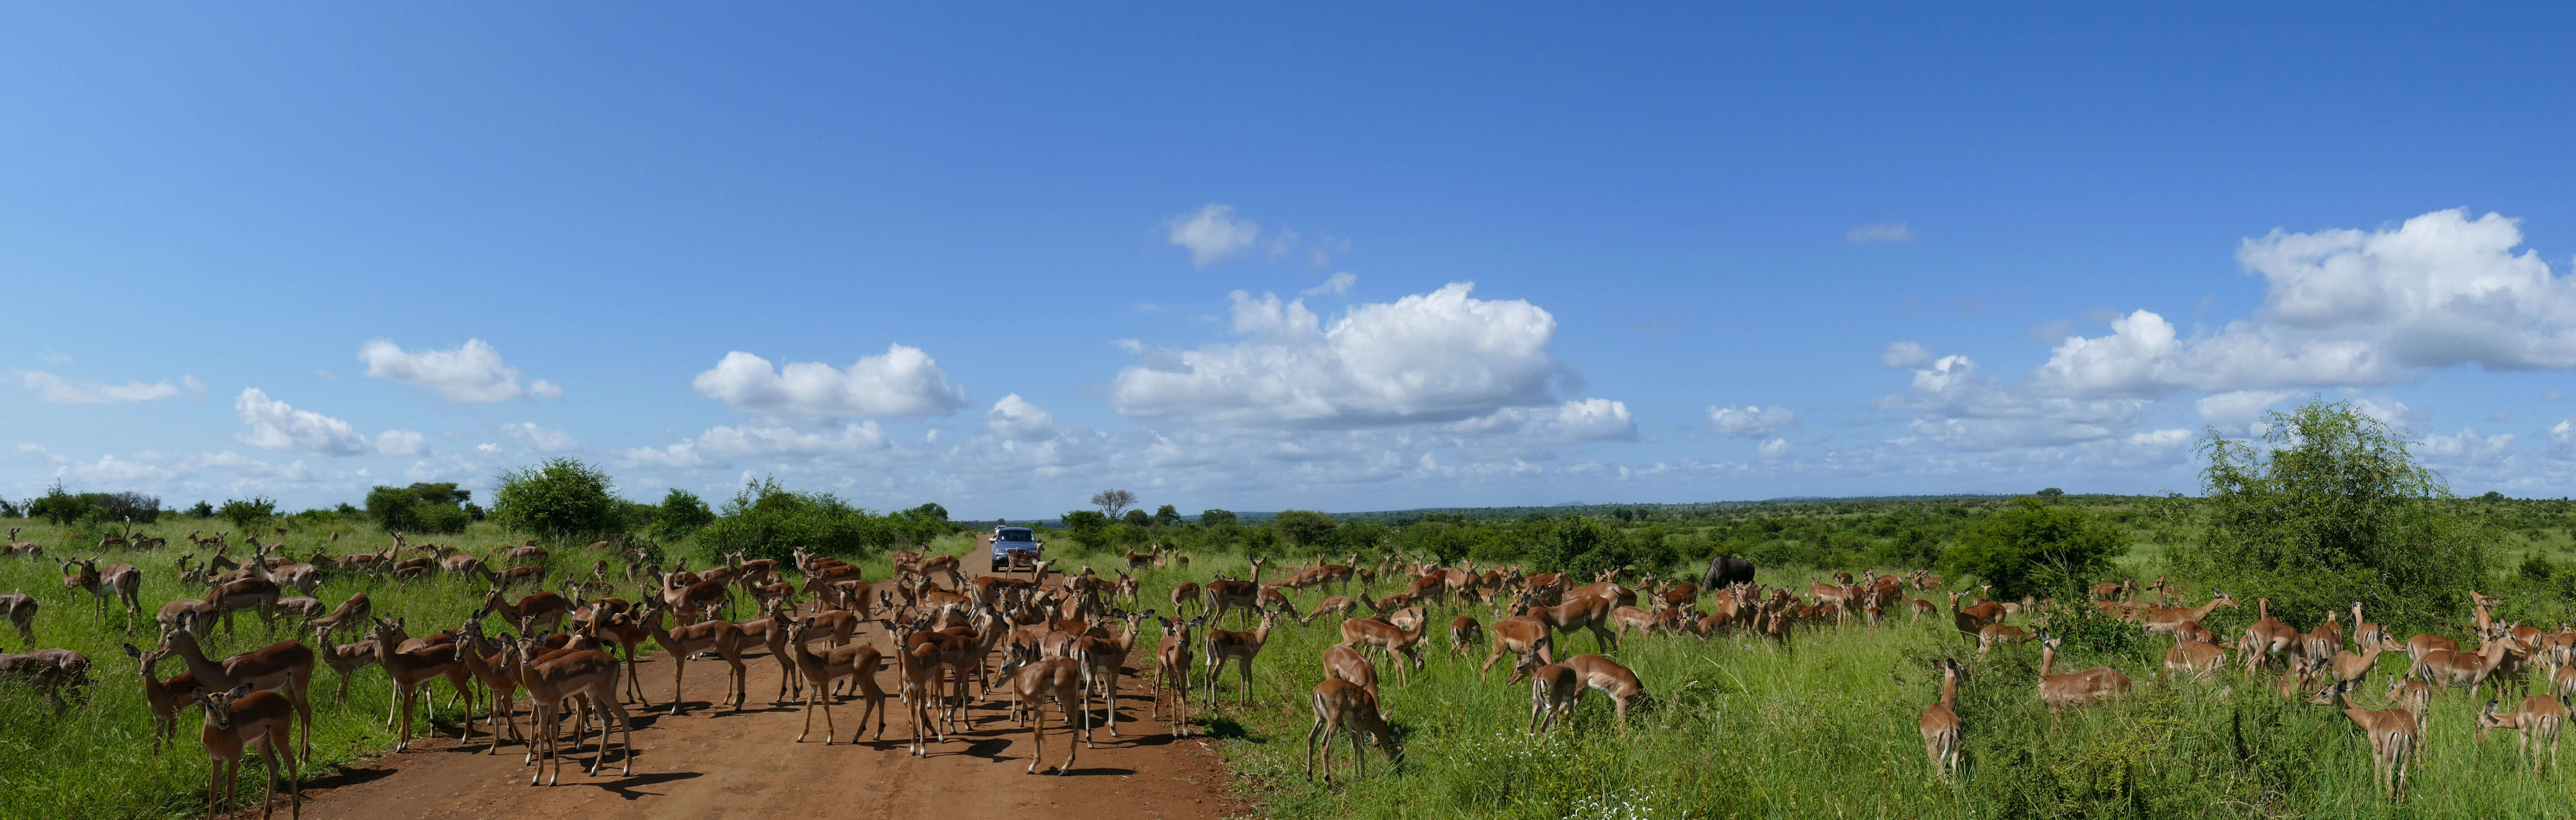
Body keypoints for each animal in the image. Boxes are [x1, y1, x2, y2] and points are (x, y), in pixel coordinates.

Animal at [191, 686, 298, 820]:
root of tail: (287, 702)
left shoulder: (234, 756)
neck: (217, 738)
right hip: (261, 742)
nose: (224, 723)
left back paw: (295, 814)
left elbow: (230, 790)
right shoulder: (216, 759)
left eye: (228, 704)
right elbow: (213, 791)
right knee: (275, 767)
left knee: (292, 763)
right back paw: (266, 815)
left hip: (280, 738)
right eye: (210, 706)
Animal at [1308, 675, 1412, 784]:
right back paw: (1328, 783)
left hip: (1321, 718)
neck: (1372, 714)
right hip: (1333, 721)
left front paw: (1355, 773)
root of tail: (1317, 691)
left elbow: (1354, 745)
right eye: (1399, 758)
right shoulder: (1359, 726)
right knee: (1324, 743)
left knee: (1311, 737)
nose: (1400, 771)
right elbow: (1361, 746)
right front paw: (1363, 775)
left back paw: (1310, 778)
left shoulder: (1351, 725)